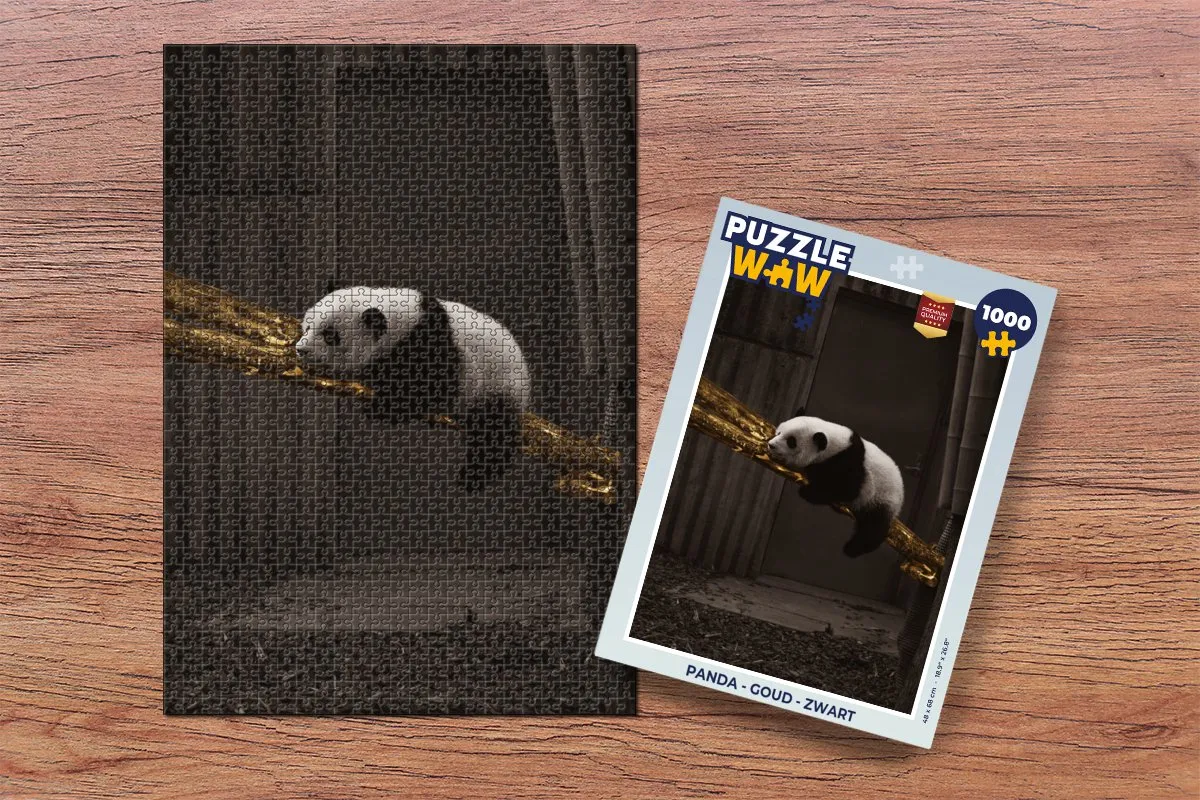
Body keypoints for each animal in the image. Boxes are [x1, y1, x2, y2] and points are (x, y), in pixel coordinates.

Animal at [295, 286, 532, 489]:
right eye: (308, 327)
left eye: (330, 336)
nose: (300, 349)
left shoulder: (430, 342)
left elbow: (435, 384)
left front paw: (383, 408)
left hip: (498, 383)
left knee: (495, 432)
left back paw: (473, 477)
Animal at [766, 411, 904, 558]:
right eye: (779, 432)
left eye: (791, 441)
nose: (771, 445)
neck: (835, 444)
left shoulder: (848, 461)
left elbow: (848, 489)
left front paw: (808, 492)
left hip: (883, 497)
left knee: (873, 526)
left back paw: (853, 549)